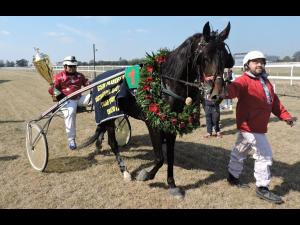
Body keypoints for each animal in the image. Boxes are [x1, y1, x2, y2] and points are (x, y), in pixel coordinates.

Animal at [79, 22, 234, 198]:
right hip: (109, 114)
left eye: (225, 58)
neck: (165, 84)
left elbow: (170, 155)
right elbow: (160, 157)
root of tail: (97, 79)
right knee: (113, 142)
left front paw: (172, 184)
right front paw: (146, 175)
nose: (217, 94)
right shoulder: (153, 122)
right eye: (205, 57)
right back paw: (124, 171)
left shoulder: (173, 122)